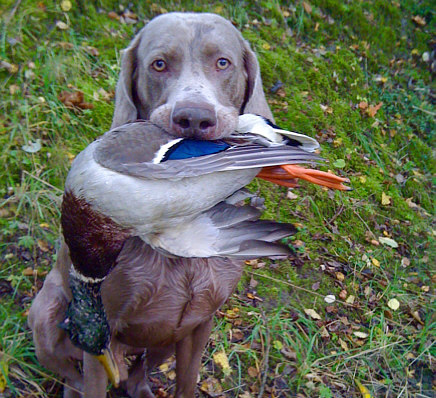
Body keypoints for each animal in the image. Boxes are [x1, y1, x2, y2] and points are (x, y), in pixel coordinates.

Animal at [29, 12, 272, 398]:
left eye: (223, 62)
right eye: (159, 64)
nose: (193, 119)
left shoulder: (201, 323)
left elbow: (187, 383)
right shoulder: (104, 335)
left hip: (168, 339)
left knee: (138, 370)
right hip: (44, 315)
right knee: (78, 376)